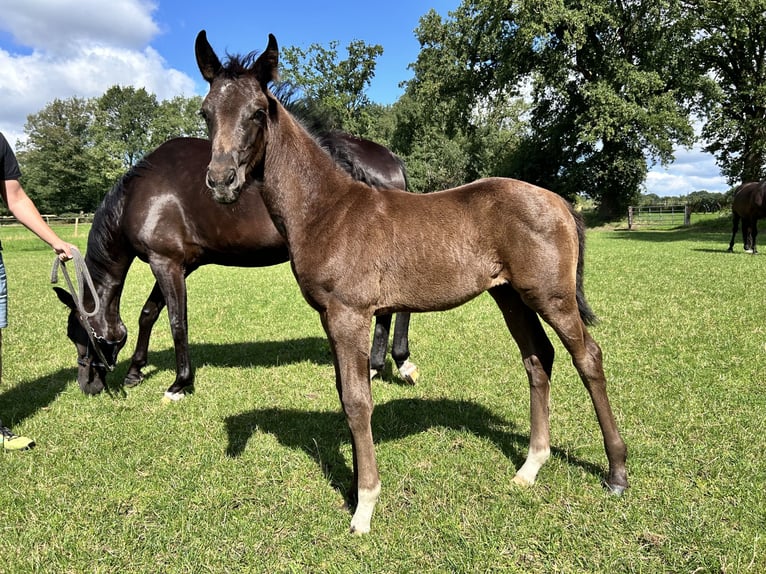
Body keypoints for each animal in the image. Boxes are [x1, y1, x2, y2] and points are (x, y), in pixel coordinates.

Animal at [54, 135, 420, 400]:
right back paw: (379, 365)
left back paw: (399, 362)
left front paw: (179, 383)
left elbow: (176, 322)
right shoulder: (178, 264)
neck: (141, 195)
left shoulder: (166, 262)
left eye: (78, 334)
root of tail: (390, 161)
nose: (87, 385)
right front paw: (136, 371)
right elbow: (149, 313)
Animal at [195, 30, 628, 536]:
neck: (328, 210)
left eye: (258, 112)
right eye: (206, 112)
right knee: (538, 358)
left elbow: (358, 401)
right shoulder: (329, 317)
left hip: (551, 296)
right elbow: (344, 394)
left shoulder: (350, 314)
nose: (221, 181)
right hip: (511, 296)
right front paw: (355, 488)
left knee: (588, 357)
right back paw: (530, 467)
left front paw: (364, 505)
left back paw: (616, 472)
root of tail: (560, 201)